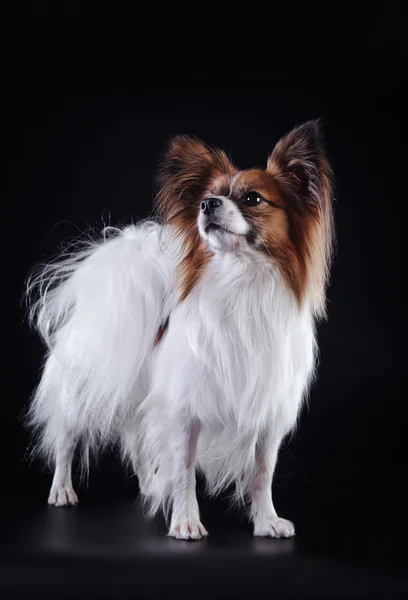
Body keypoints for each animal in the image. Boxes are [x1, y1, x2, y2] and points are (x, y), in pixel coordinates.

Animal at [27, 120, 334, 540]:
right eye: (207, 197)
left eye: (253, 198)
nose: (208, 205)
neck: (241, 283)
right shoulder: (184, 409)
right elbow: (185, 470)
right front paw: (186, 521)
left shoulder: (266, 415)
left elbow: (262, 472)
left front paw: (266, 521)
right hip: (84, 385)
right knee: (66, 435)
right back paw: (62, 490)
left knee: (138, 443)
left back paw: (148, 485)